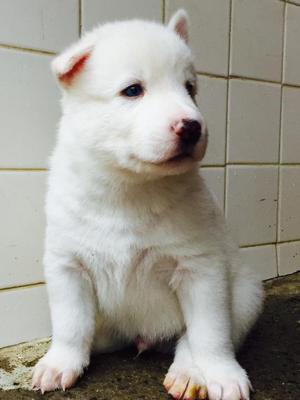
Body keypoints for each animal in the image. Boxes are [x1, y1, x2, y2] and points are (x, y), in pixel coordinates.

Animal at [33, 10, 262, 400]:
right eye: (132, 90)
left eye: (190, 88)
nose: (192, 127)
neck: (128, 189)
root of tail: (144, 338)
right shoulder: (67, 265)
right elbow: (70, 324)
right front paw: (59, 363)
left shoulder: (201, 269)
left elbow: (209, 334)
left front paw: (222, 374)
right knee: (94, 332)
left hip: (246, 294)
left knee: (196, 337)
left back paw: (189, 374)